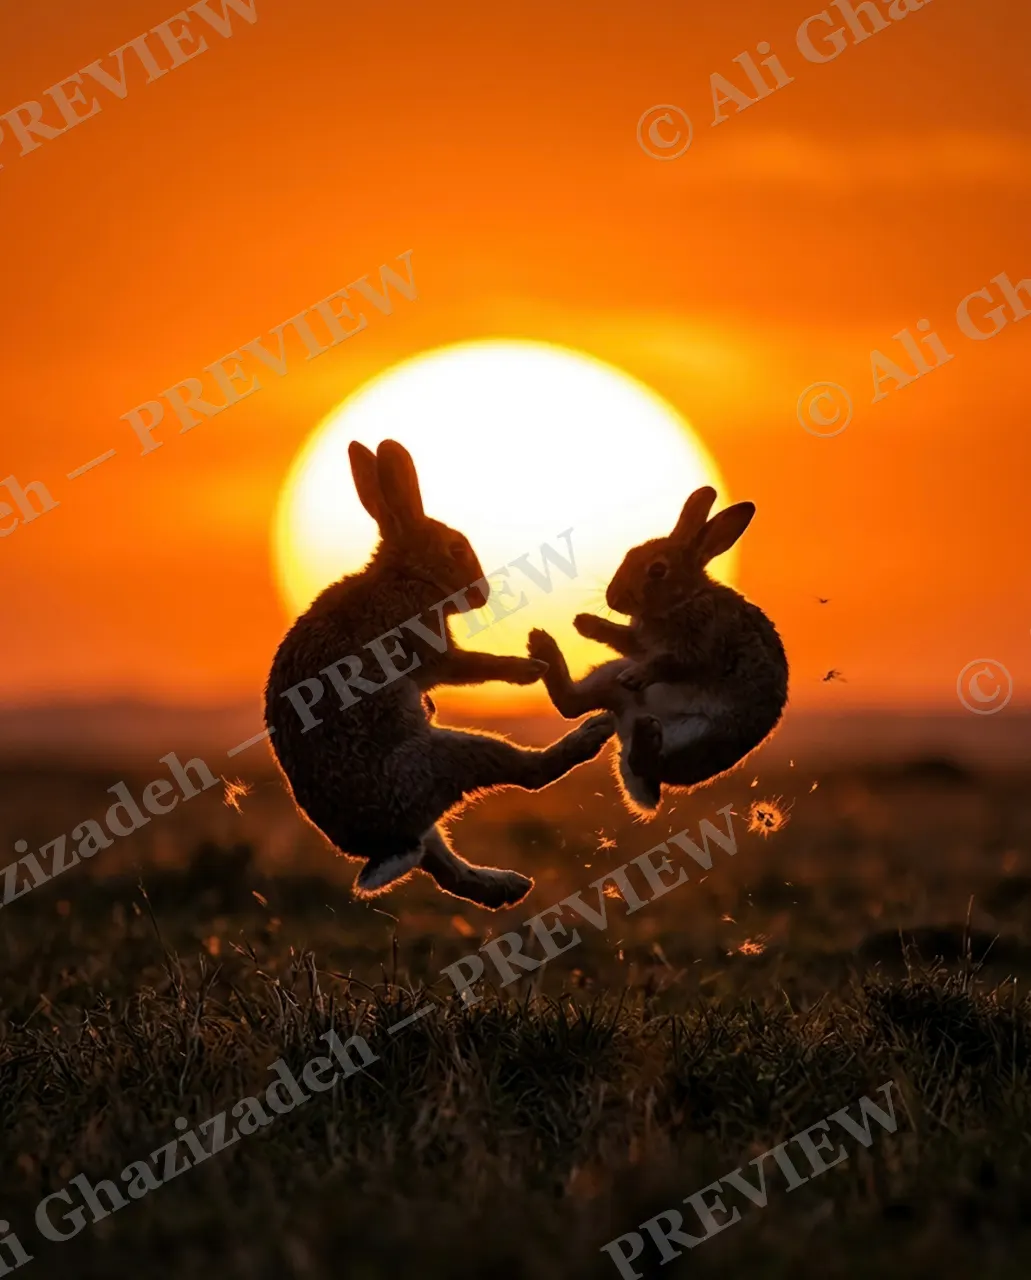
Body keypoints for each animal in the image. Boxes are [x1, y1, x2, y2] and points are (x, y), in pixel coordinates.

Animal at [263, 439, 615, 909]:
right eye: (455, 550)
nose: (481, 593)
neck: (407, 575)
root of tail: (387, 842)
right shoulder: (429, 650)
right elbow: (469, 666)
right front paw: (528, 669)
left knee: (444, 868)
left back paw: (507, 886)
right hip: (441, 757)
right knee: (529, 775)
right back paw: (591, 734)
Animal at [527, 486, 787, 815]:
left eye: (658, 570)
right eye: (629, 555)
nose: (612, 598)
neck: (684, 599)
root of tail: (627, 726)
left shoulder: (700, 647)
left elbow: (668, 664)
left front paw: (636, 675)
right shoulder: (639, 642)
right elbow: (629, 641)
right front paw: (585, 623)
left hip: (700, 737)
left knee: (647, 763)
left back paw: (646, 735)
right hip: (611, 677)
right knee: (570, 705)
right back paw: (542, 645)